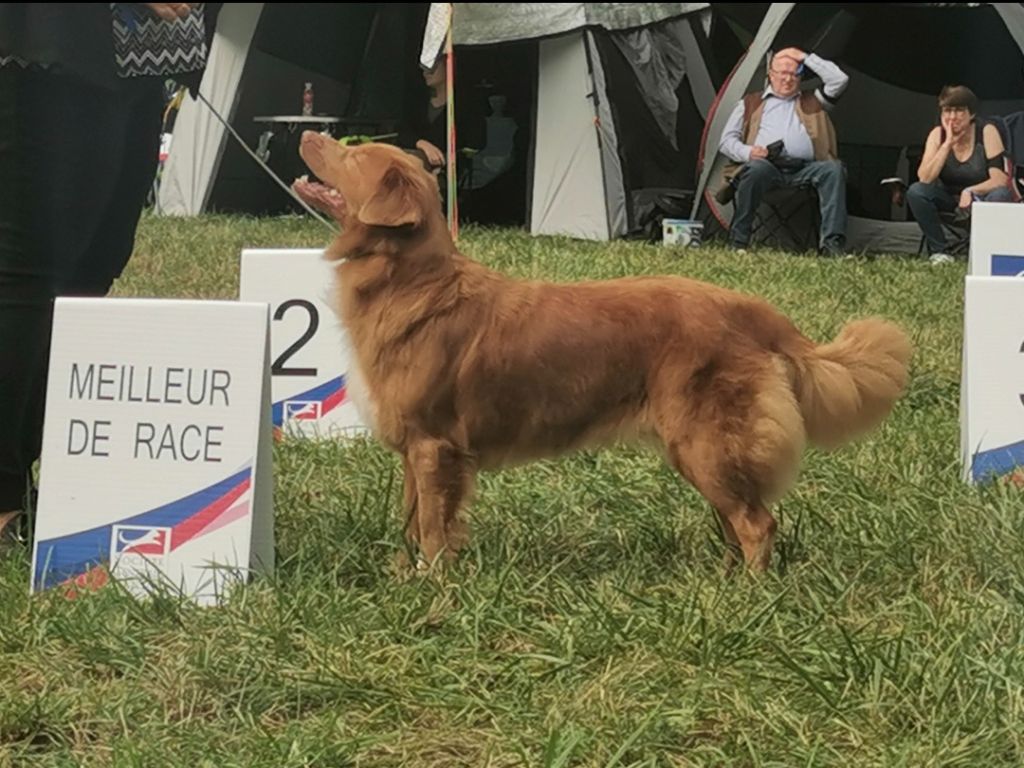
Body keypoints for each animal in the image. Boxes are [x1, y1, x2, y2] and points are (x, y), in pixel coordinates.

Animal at [292, 134, 909, 573]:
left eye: (351, 154)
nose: (307, 132)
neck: (412, 281)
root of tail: (748, 308)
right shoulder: (415, 451)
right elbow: (414, 519)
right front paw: (407, 575)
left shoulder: (434, 445)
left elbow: (434, 528)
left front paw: (434, 584)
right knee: (738, 519)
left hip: (704, 441)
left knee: (758, 523)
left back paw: (748, 597)